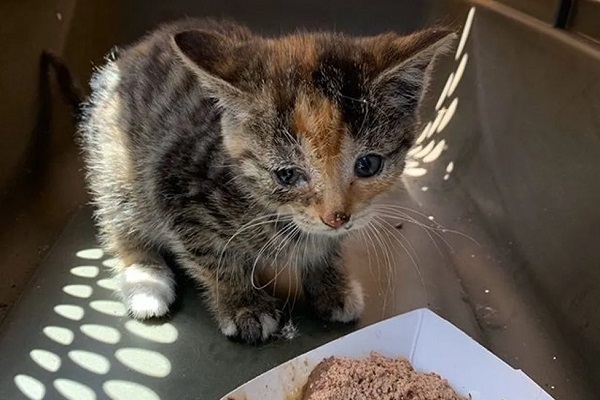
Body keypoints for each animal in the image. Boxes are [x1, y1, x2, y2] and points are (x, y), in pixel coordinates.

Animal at [79, 18, 454, 344]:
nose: (336, 217)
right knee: (122, 228)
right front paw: (244, 305)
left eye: (368, 165)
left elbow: (326, 250)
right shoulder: (175, 185)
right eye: (287, 175)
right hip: (118, 174)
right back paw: (146, 281)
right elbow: (213, 256)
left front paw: (332, 285)